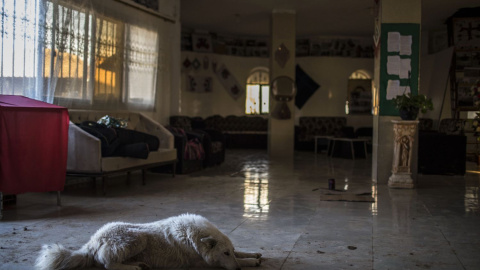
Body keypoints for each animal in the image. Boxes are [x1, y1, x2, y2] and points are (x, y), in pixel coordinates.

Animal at [34, 213, 262, 270]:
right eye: (224, 253)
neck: (193, 237)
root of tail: (92, 241)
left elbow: (242, 253)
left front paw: (253, 254)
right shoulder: (201, 263)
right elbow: (239, 260)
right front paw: (249, 262)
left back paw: (139, 264)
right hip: (137, 239)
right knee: (107, 263)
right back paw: (133, 267)